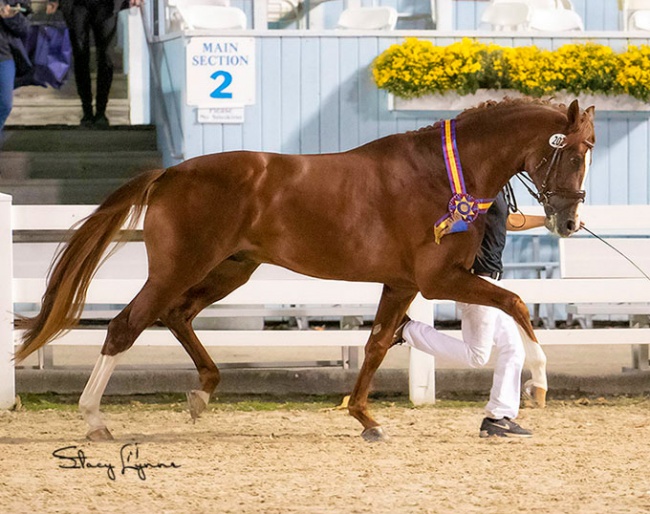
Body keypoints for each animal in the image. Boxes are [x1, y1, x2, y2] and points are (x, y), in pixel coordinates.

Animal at [13, 97, 592, 440]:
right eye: (572, 153)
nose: (568, 221)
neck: (443, 173)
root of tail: (169, 174)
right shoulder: (437, 280)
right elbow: (516, 303)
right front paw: (540, 383)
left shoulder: (403, 283)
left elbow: (377, 343)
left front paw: (364, 417)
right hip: (178, 268)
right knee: (125, 325)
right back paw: (95, 419)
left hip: (231, 270)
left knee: (178, 315)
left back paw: (201, 393)